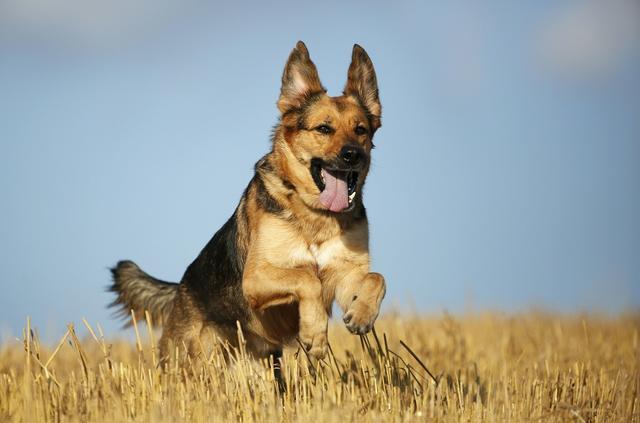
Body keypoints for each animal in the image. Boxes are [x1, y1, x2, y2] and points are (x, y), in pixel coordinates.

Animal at [109, 40, 384, 364]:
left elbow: (376, 278)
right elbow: (307, 277)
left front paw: (362, 314)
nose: (353, 155)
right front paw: (315, 335)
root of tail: (180, 289)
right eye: (324, 129)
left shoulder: (344, 277)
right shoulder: (256, 278)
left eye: (361, 130)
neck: (316, 215)